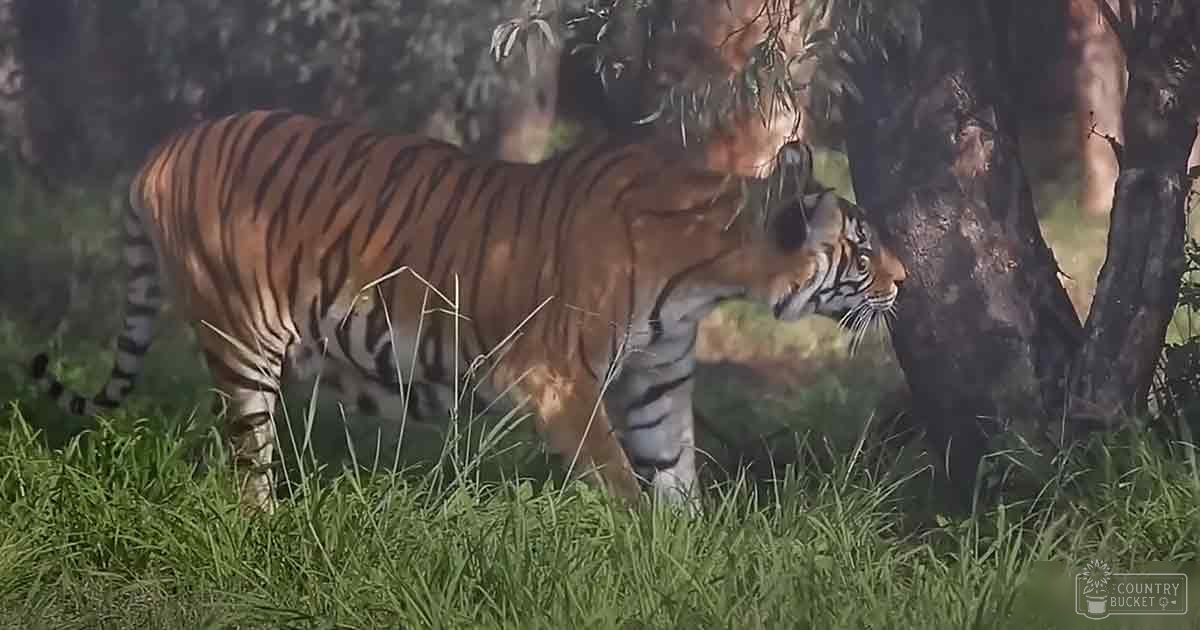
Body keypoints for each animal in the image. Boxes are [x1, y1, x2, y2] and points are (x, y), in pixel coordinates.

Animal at [28, 109, 906, 514]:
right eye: (862, 252)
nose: (906, 282)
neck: (707, 277)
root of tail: (163, 146)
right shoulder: (557, 377)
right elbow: (620, 477)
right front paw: (646, 546)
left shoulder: (657, 378)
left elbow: (674, 472)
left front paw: (686, 553)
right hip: (240, 337)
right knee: (248, 459)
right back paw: (267, 526)